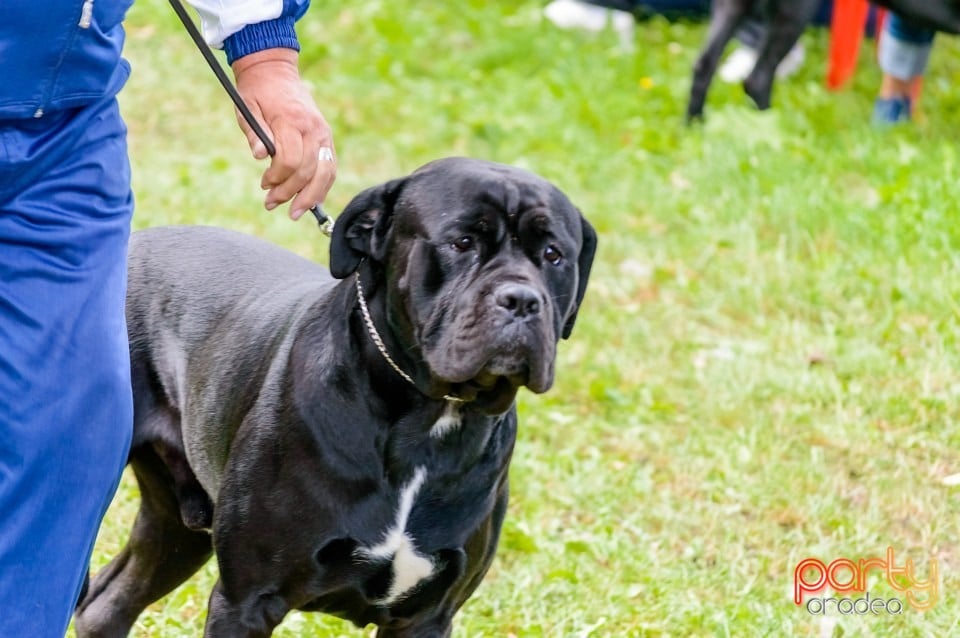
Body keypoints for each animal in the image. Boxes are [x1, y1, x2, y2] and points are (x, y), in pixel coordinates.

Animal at [75, 158, 596, 636]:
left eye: (553, 255)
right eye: (462, 242)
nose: (522, 300)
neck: (428, 417)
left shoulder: (428, 616)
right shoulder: (246, 600)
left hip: (180, 524)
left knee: (108, 603)